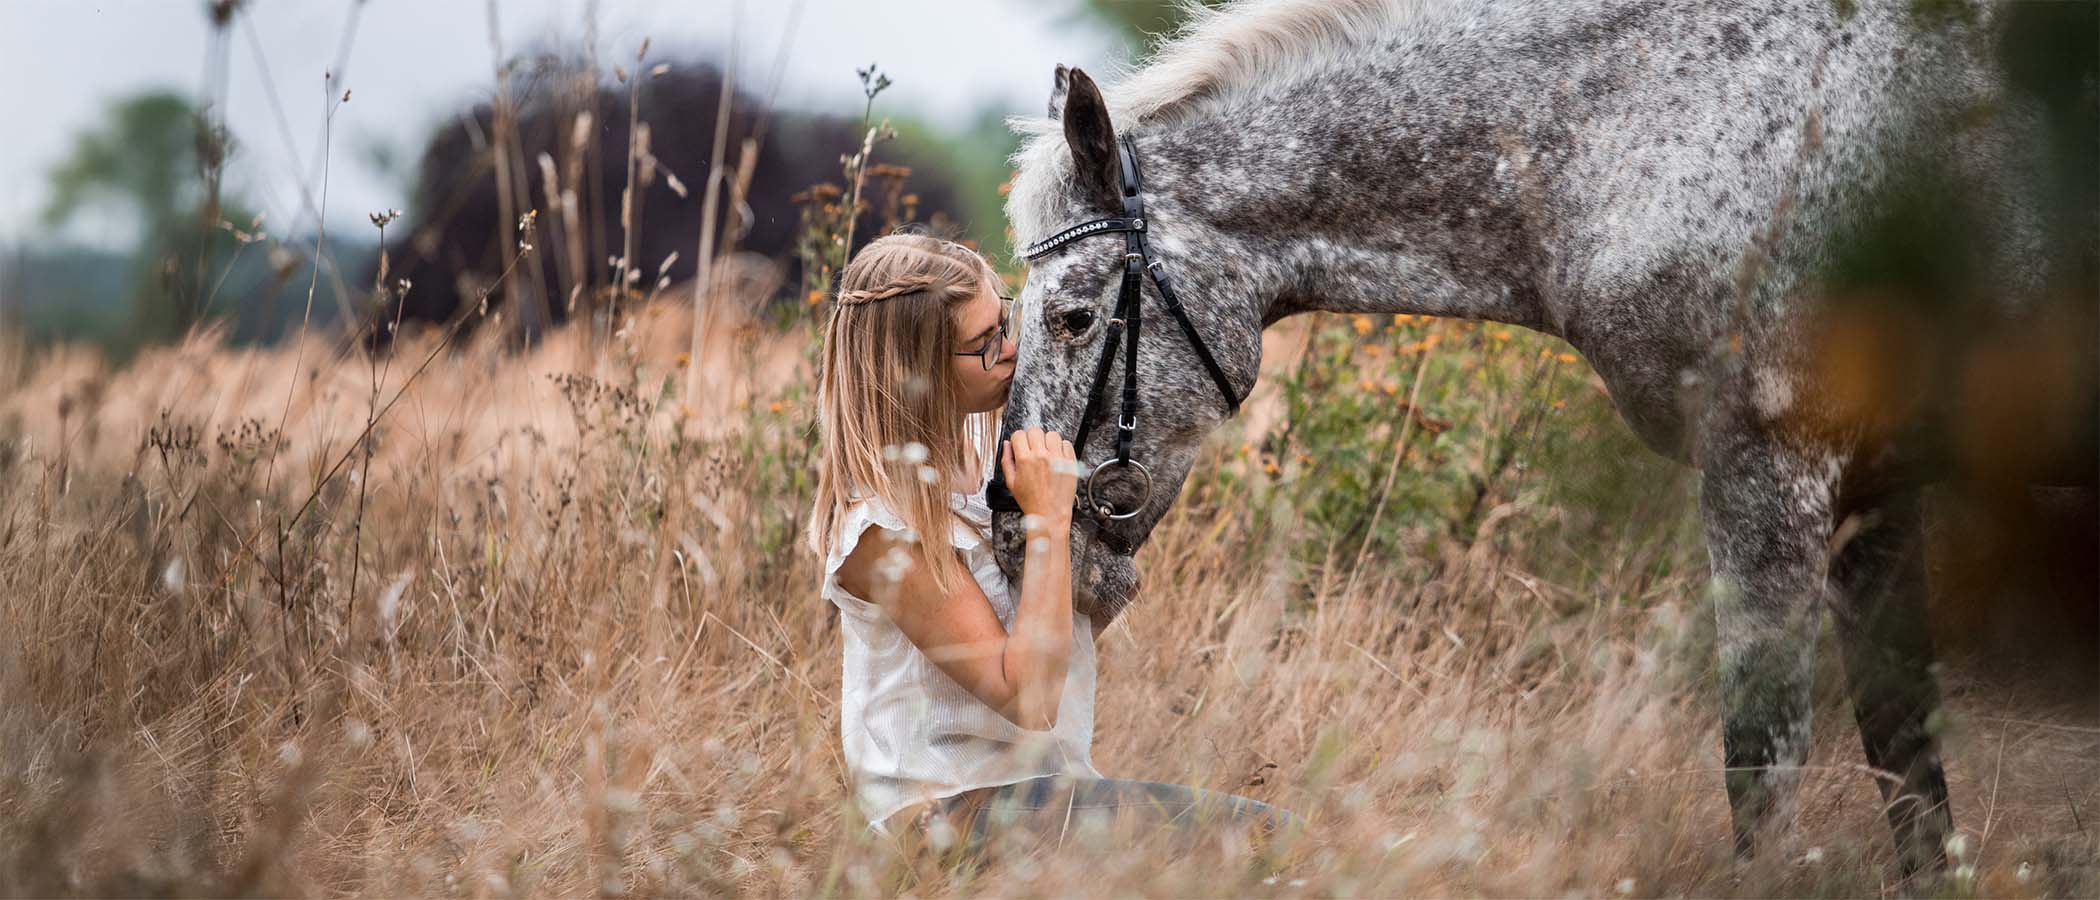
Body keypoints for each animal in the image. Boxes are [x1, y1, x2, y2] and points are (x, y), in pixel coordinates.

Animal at [987, 0, 2096, 875]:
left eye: (1074, 318)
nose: (1011, 532)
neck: (1658, 115)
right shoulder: (1875, 491)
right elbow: (1907, 760)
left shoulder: (1768, 473)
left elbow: (1763, 757)